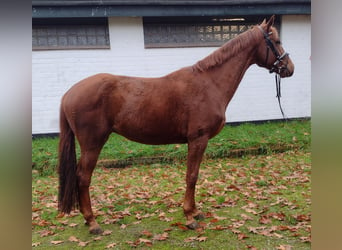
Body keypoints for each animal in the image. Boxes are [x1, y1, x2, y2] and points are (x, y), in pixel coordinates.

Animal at [58, 16, 294, 234]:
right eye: (277, 40)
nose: (289, 68)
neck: (210, 83)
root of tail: (69, 93)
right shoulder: (198, 139)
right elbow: (192, 176)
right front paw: (189, 217)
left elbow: (194, 175)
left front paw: (196, 211)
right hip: (93, 144)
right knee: (83, 177)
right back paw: (92, 222)